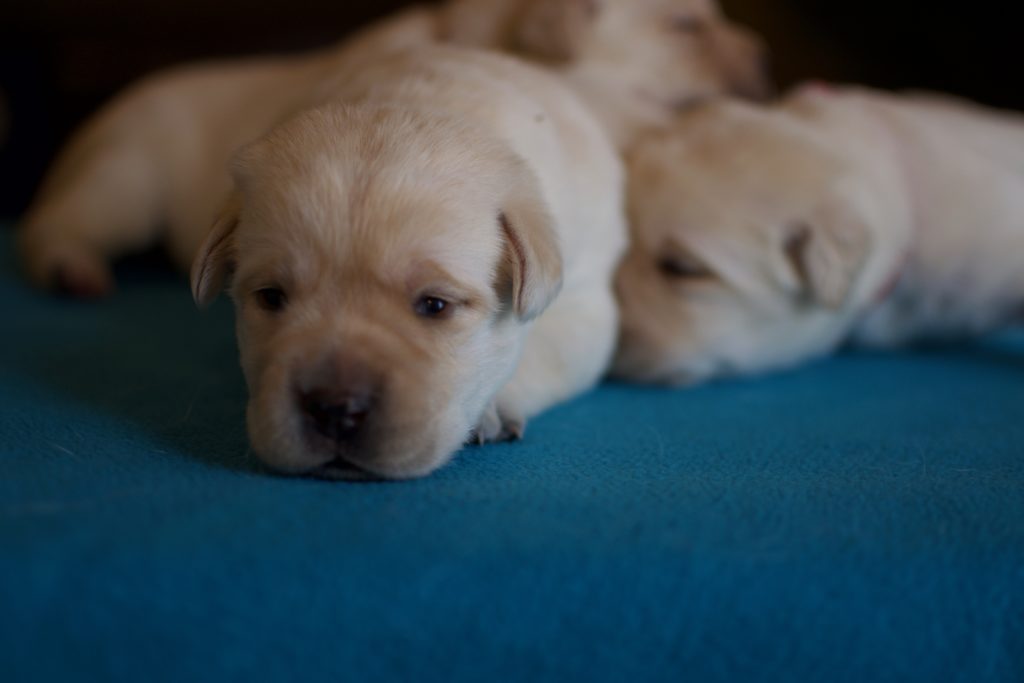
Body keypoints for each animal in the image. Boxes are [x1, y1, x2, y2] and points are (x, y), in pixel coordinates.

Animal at [188, 46, 626, 481]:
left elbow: (534, 353)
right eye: (272, 298)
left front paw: (493, 407)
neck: (411, 105)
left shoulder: (582, 307)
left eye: (435, 305)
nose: (335, 410)